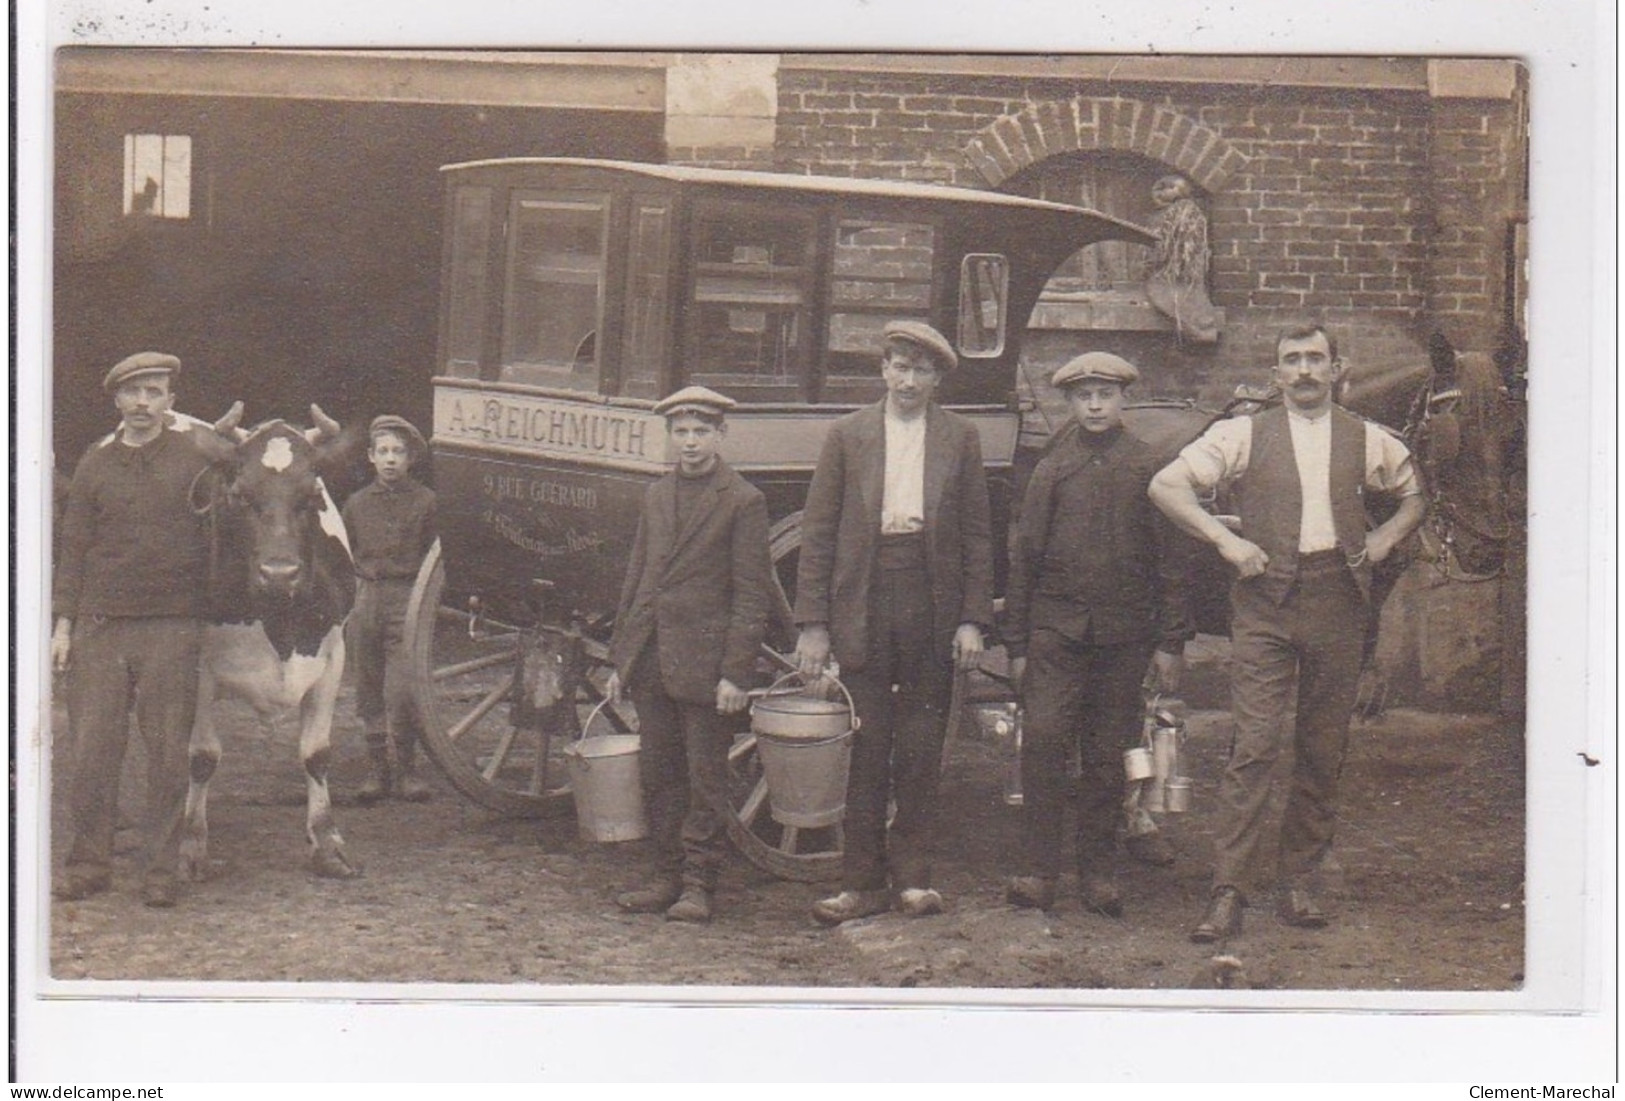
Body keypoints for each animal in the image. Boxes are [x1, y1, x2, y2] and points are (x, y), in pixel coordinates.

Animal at [184, 405, 362, 876]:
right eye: (241, 494)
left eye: (312, 496)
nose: (280, 573)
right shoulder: (199, 668)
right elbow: (202, 756)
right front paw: (192, 845)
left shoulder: (332, 657)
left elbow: (316, 752)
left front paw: (327, 842)